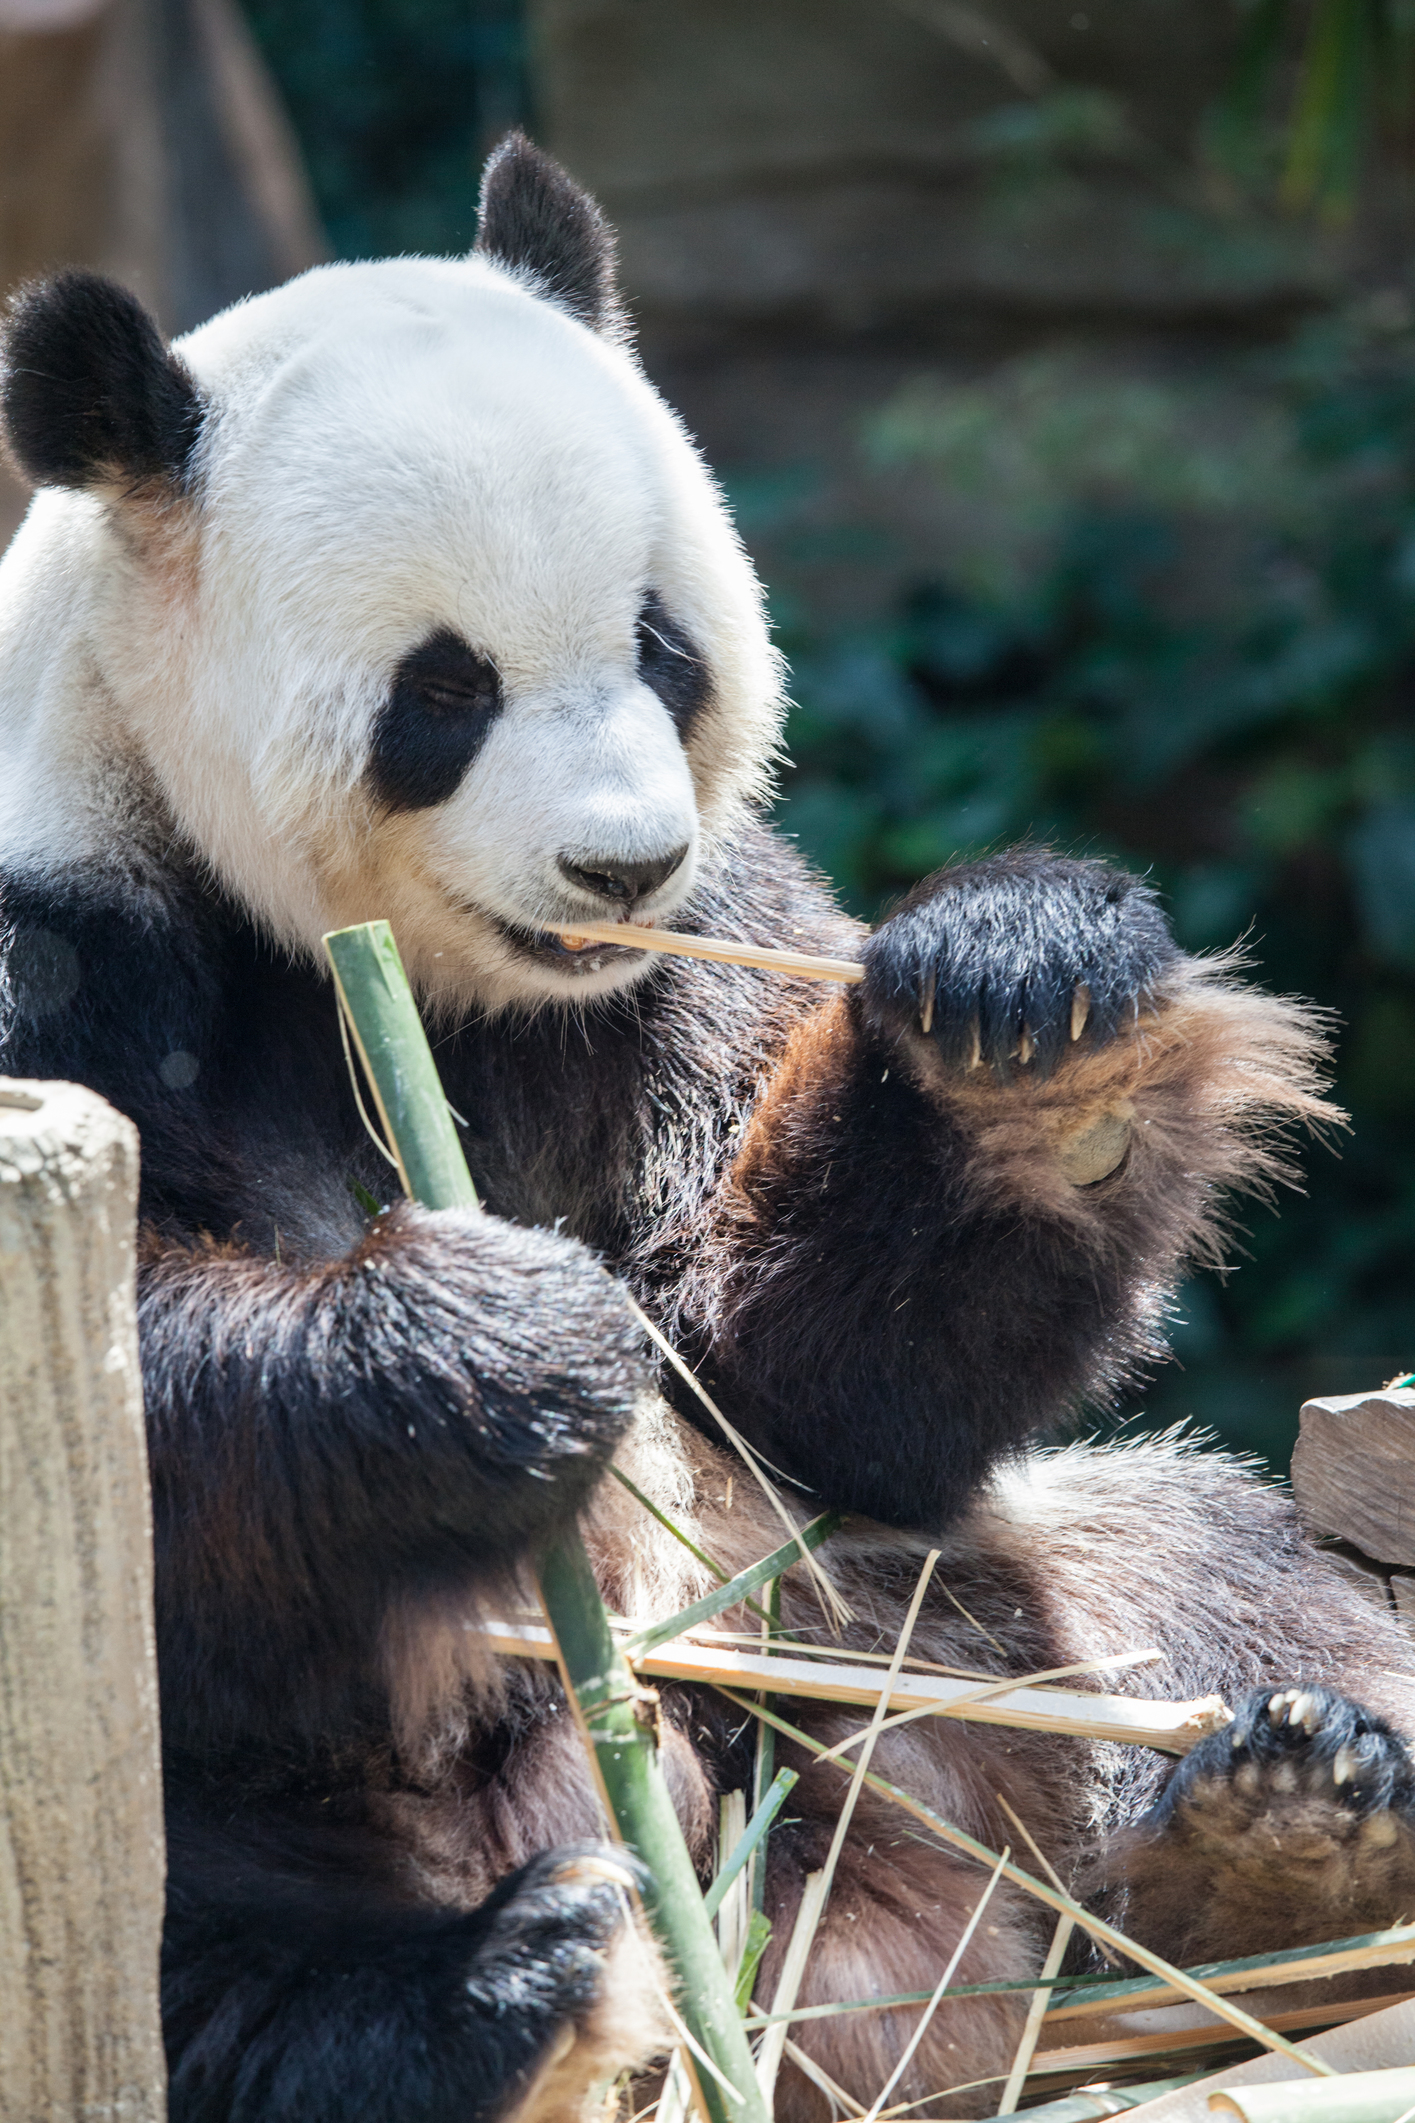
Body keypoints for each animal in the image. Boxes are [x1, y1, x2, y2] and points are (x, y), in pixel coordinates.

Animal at [2, 132, 1415, 2123]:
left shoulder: (684, 958)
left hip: (892, 1650)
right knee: (163, 1896)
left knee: (1184, 1569)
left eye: (660, 645)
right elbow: (126, 1397)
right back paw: (484, 1997)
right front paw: (492, 1342)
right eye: (443, 689)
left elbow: (811, 1376)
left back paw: (1275, 1830)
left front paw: (1025, 1019)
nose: (620, 863)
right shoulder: (66, 937)